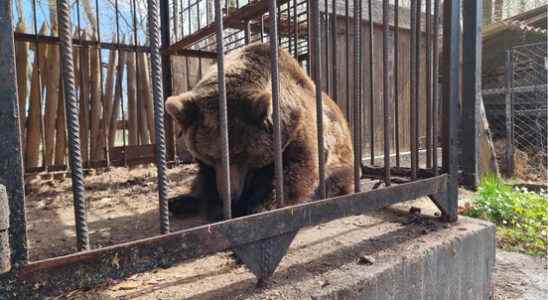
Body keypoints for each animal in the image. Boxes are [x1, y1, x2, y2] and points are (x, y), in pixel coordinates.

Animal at [165, 42, 356, 220]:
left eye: (239, 154)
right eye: (210, 156)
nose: (229, 195)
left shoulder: (298, 130)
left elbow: (296, 172)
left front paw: (258, 207)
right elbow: (206, 179)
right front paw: (216, 206)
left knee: (334, 179)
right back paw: (179, 202)